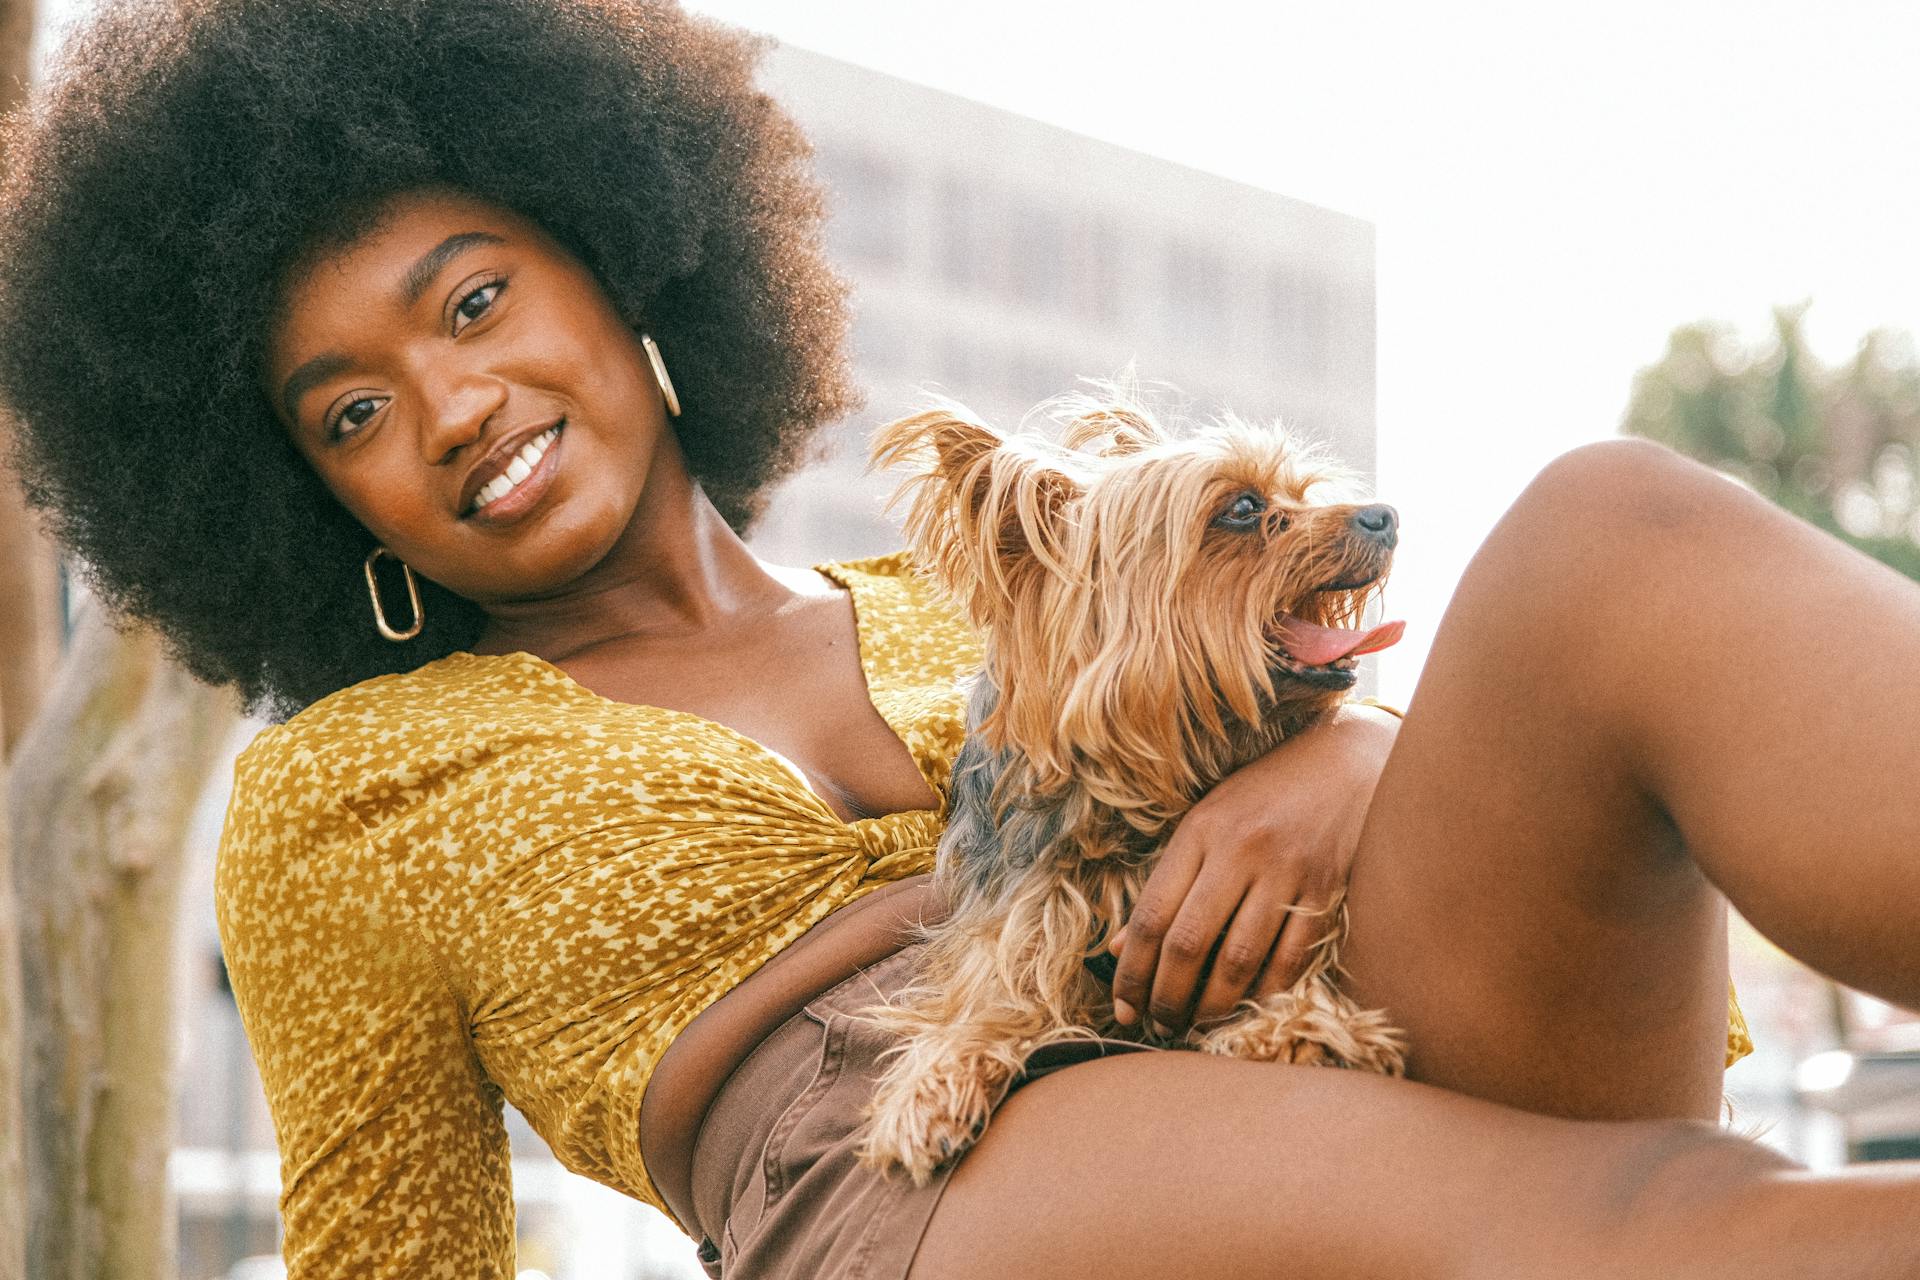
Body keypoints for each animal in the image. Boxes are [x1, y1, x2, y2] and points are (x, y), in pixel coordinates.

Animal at [856, 395, 1413, 1189]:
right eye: (1243, 508)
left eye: (1300, 494)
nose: (1384, 515)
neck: (1157, 796)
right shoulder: (1026, 921)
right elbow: (995, 999)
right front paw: (931, 1082)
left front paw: (1300, 1027)